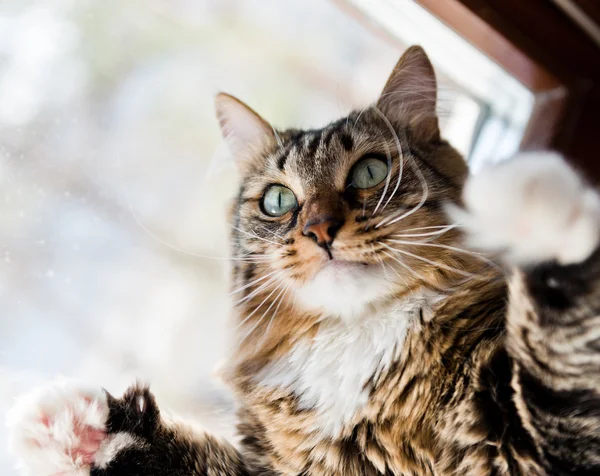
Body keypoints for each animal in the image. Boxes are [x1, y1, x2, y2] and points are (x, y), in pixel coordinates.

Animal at [7, 45, 600, 476]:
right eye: (278, 201)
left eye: (369, 172)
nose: (318, 230)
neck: (360, 340)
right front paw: (79, 425)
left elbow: (560, 365)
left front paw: (546, 212)